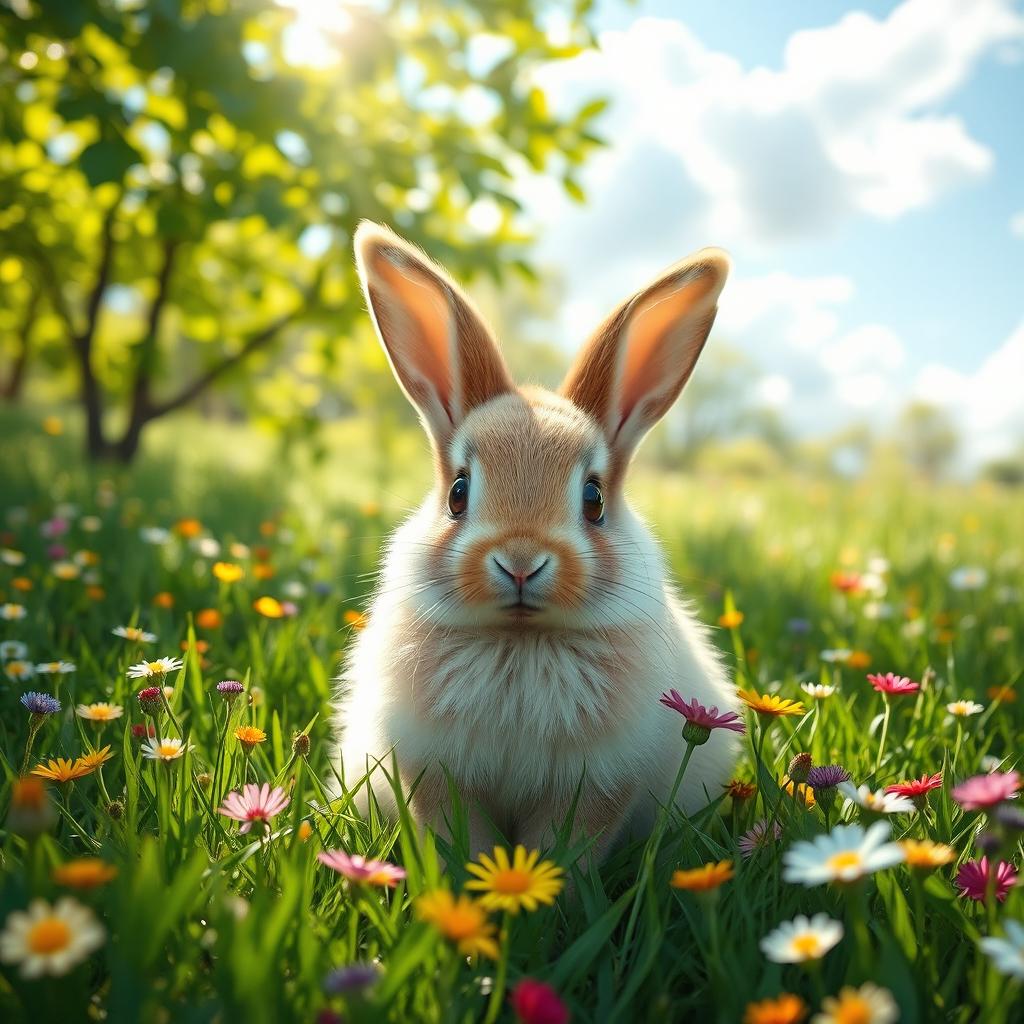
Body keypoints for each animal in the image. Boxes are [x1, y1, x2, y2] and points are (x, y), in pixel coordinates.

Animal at [331, 220, 741, 860]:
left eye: (593, 499)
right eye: (458, 492)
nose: (520, 563)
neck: (519, 641)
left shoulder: (596, 786)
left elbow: (564, 850)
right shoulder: (437, 777)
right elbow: (461, 840)